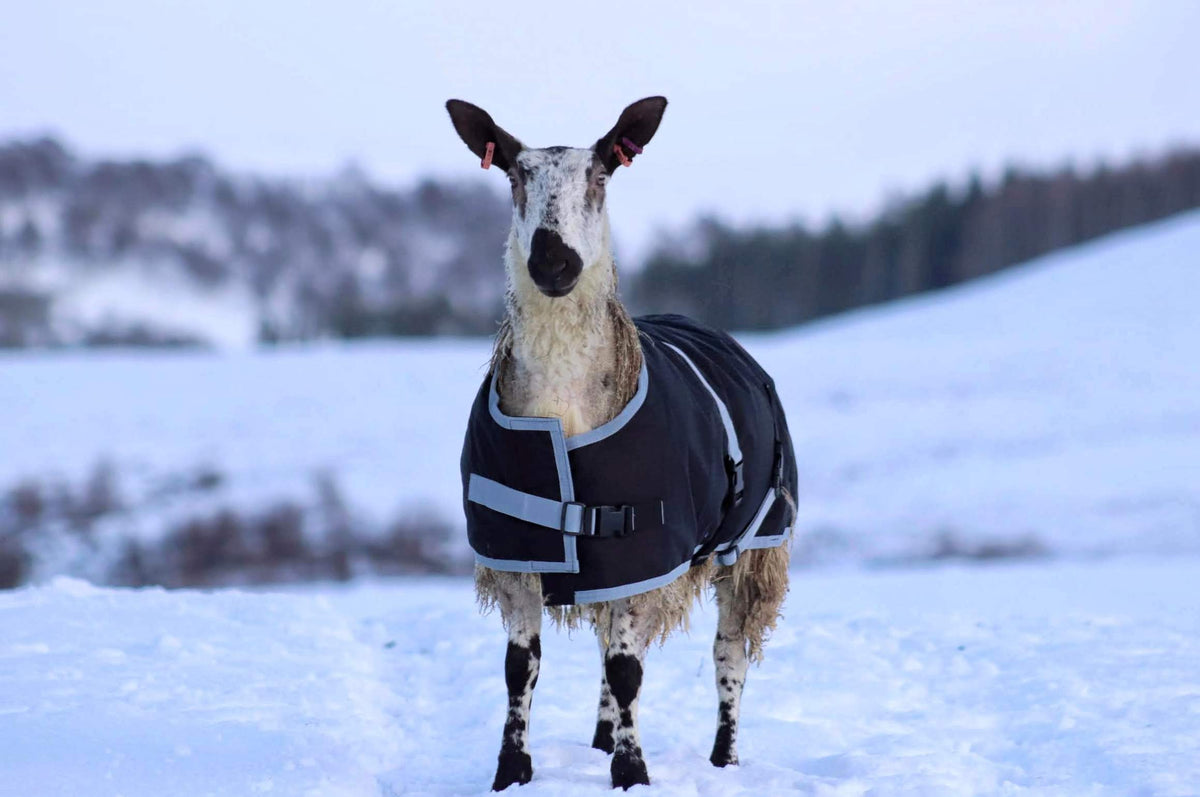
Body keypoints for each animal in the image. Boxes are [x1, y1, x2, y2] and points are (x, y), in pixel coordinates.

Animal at [447, 96, 797, 791]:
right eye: (515, 176)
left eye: (601, 176)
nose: (553, 262)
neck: (563, 413)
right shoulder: (516, 549)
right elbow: (520, 667)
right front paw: (511, 770)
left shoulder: (646, 546)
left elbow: (629, 668)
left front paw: (633, 773)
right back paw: (601, 740)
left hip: (755, 546)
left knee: (729, 655)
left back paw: (722, 758)